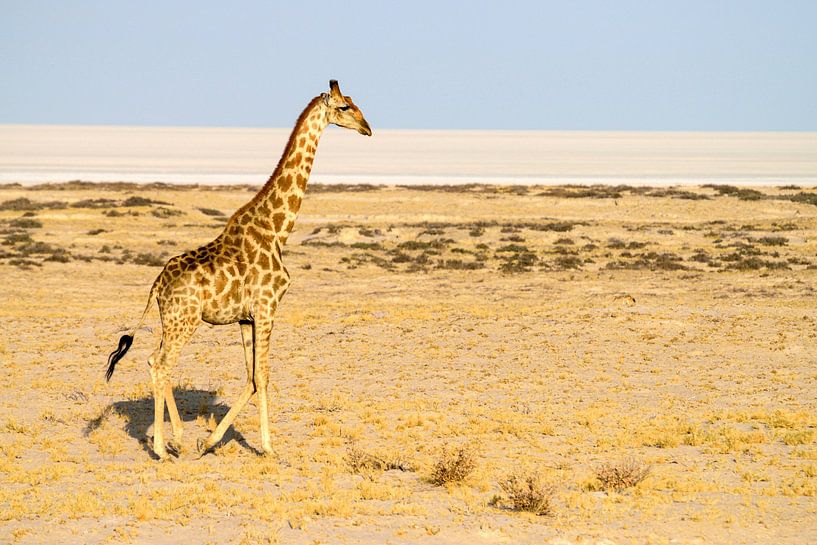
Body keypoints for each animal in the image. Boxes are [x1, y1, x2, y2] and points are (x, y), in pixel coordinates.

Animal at [103, 79, 372, 460]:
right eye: (345, 107)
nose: (368, 127)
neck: (278, 230)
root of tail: (156, 285)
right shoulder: (267, 308)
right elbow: (264, 377)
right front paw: (269, 449)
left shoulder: (246, 317)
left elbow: (250, 377)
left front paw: (208, 441)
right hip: (185, 322)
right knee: (161, 365)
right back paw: (162, 447)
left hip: (171, 321)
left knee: (156, 362)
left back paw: (177, 439)